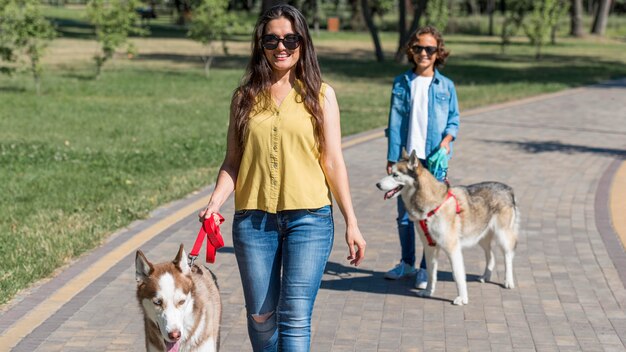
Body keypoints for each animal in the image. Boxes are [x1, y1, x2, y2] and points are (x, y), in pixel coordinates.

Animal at [376, 151, 516, 306]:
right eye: (390, 172)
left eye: (395, 175)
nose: (377, 184)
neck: (431, 207)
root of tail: (508, 188)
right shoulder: (430, 247)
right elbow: (431, 273)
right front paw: (428, 292)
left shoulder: (452, 248)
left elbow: (458, 275)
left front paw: (462, 298)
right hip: (481, 237)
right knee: (490, 255)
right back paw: (485, 276)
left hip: (503, 237)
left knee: (508, 257)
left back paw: (508, 281)